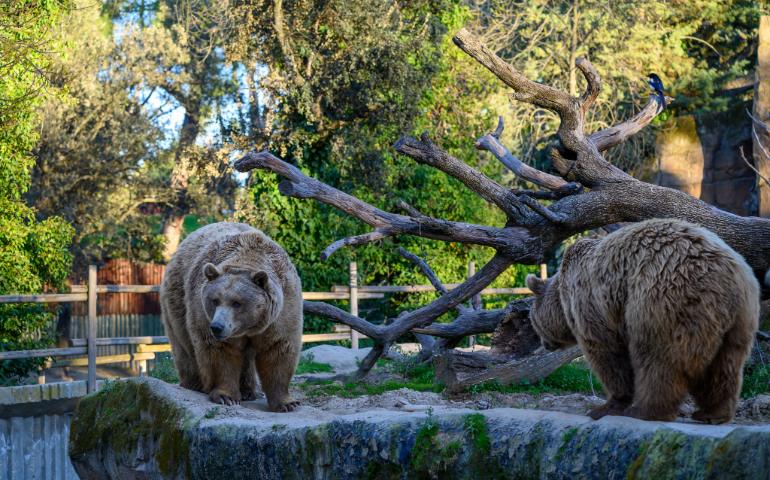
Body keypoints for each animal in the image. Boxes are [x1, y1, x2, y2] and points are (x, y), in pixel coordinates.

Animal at [160, 222, 303, 412]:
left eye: (237, 303)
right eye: (215, 300)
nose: (217, 327)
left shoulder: (282, 311)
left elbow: (278, 350)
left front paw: (287, 403)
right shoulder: (203, 312)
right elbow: (221, 353)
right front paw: (225, 396)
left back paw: (248, 391)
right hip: (177, 299)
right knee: (184, 345)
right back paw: (194, 384)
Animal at [526, 218, 759, 424]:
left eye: (533, 323)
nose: (544, 344)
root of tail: (729, 277)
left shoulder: (593, 305)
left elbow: (608, 354)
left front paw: (605, 406)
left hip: (664, 299)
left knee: (657, 358)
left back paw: (644, 410)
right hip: (740, 319)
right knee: (725, 366)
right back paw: (712, 413)